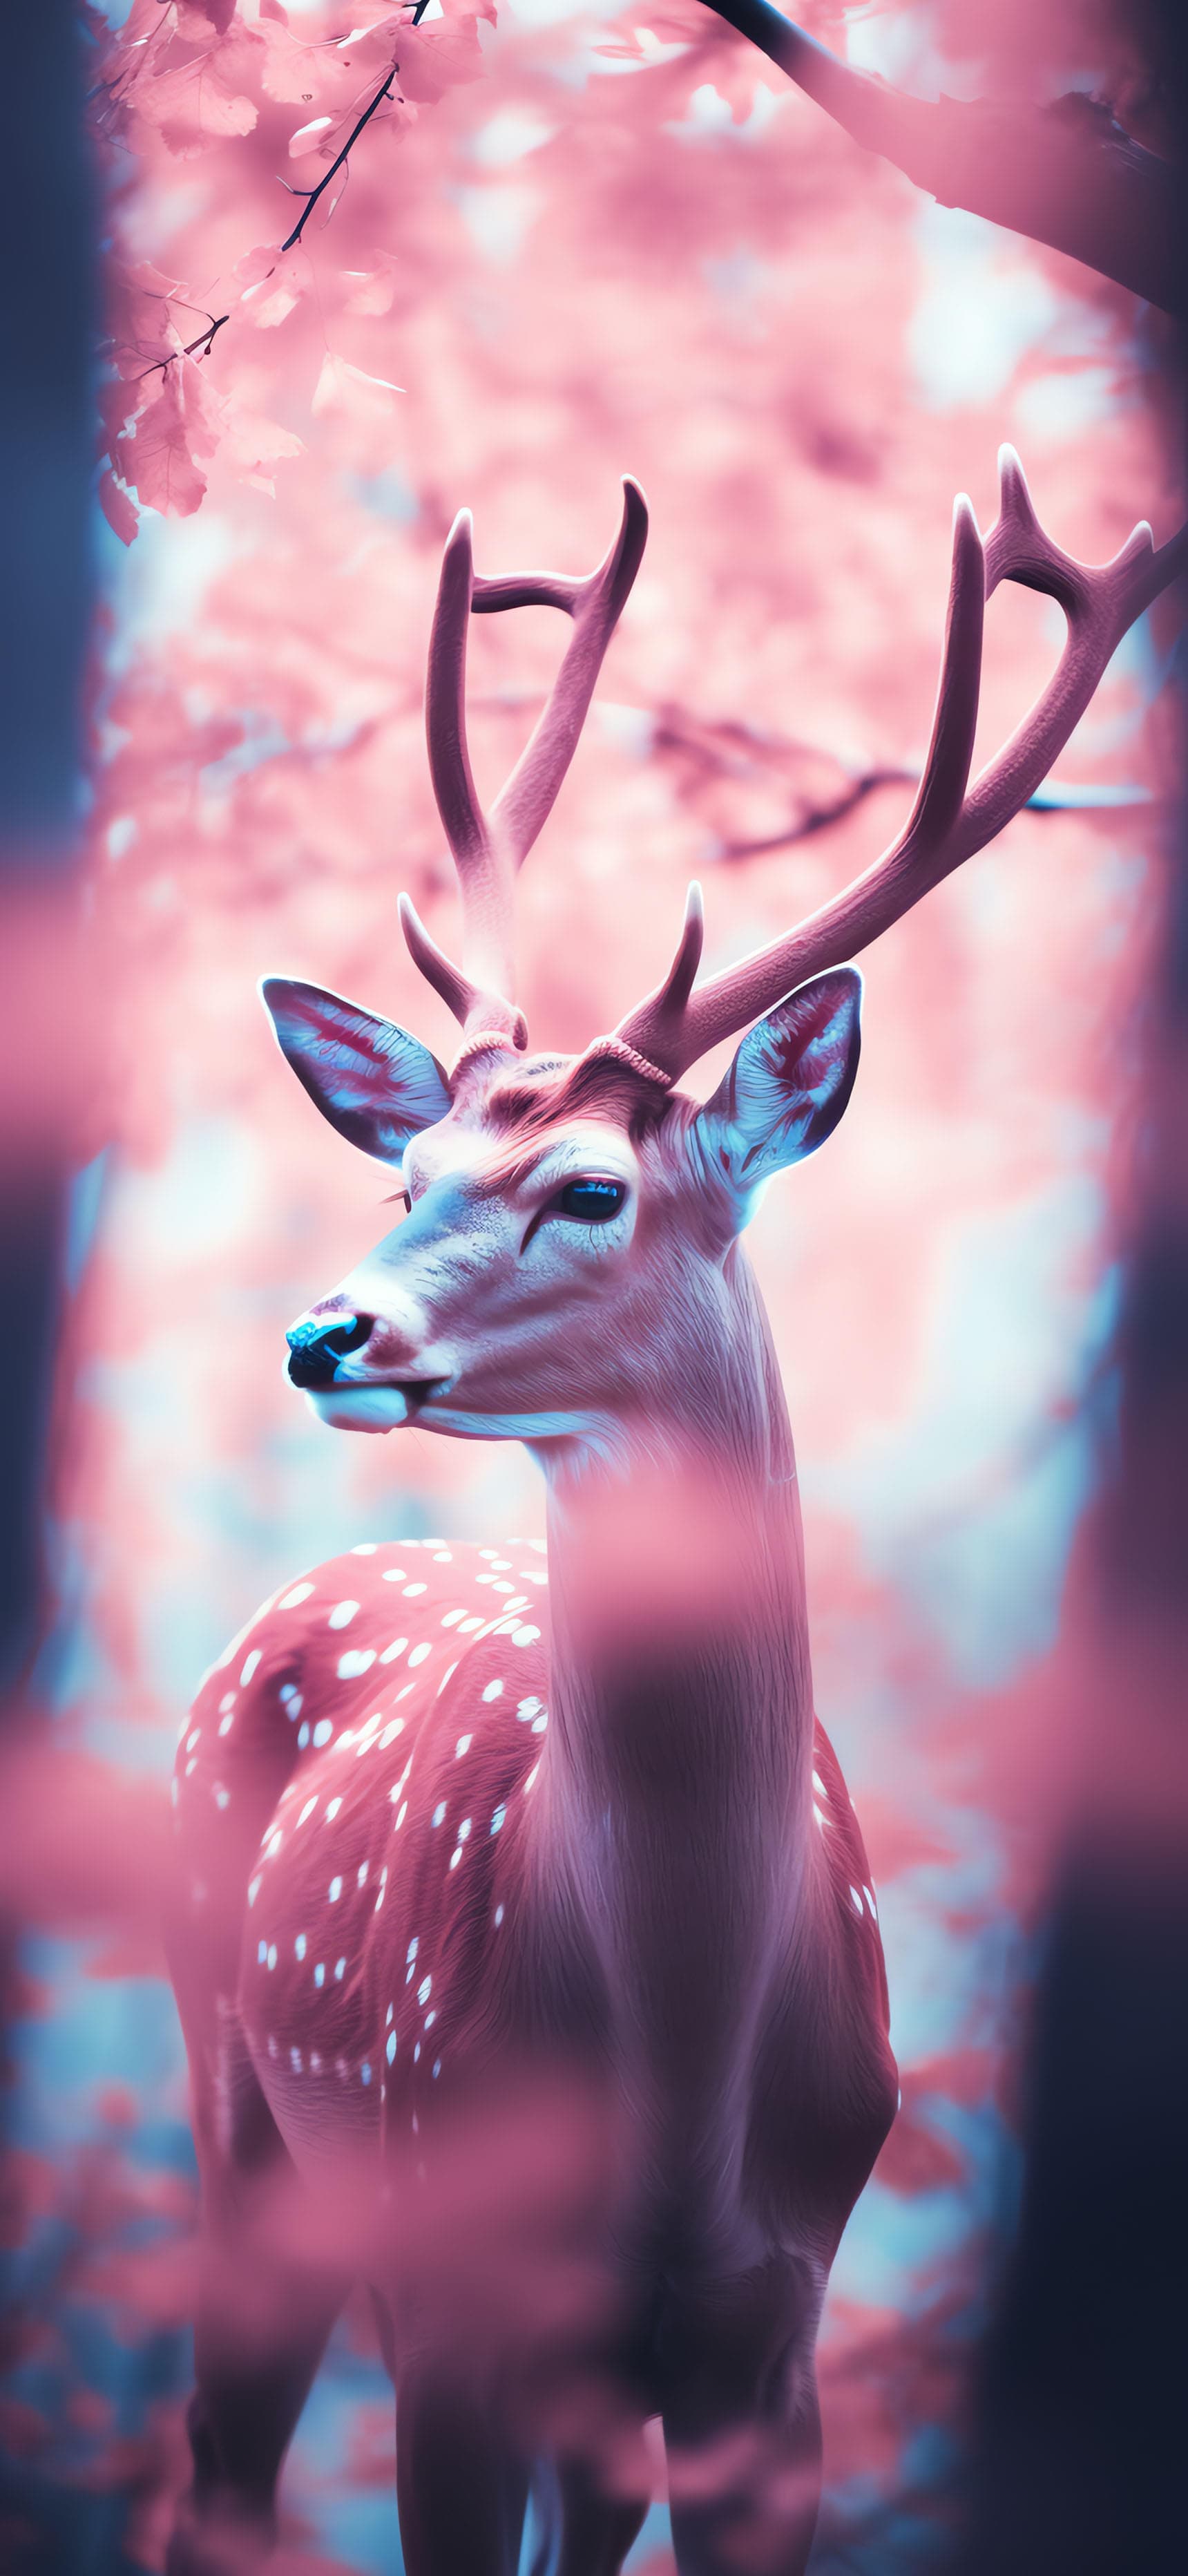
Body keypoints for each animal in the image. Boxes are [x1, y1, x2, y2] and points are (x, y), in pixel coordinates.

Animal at [166, 453, 1184, 2576]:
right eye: (402, 1172)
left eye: (587, 1189)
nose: (324, 1332)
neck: (678, 2110)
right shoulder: (456, 2296)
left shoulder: (764, 2346)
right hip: (240, 2103)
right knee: (210, 2474)